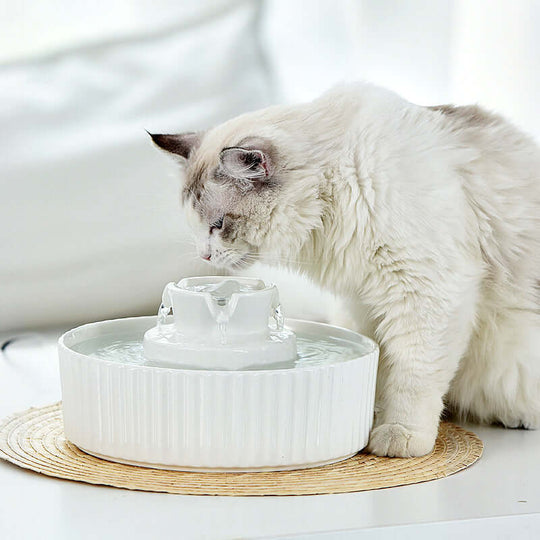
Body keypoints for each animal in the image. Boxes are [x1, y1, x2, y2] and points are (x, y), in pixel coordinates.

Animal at [150, 83, 540, 456]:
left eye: (217, 225)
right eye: (195, 227)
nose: (205, 257)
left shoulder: (426, 293)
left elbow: (412, 376)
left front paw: (397, 434)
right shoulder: (361, 301)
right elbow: (381, 368)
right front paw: (372, 417)